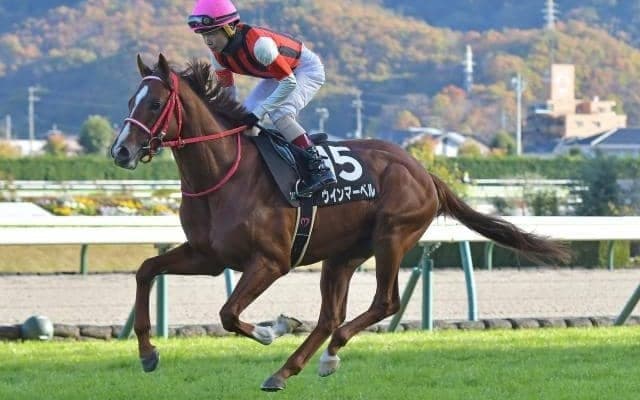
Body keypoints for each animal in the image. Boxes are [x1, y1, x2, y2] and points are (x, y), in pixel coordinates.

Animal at [110, 53, 571, 391]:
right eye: (130, 101)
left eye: (154, 103)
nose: (121, 151)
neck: (225, 173)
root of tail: (424, 172)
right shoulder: (208, 256)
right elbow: (146, 270)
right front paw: (148, 352)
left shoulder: (271, 262)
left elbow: (228, 312)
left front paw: (272, 328)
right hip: (342, 255)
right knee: (331, 316)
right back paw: (293, 368)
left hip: (391, 236)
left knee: (384, 302)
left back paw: (325, 354)